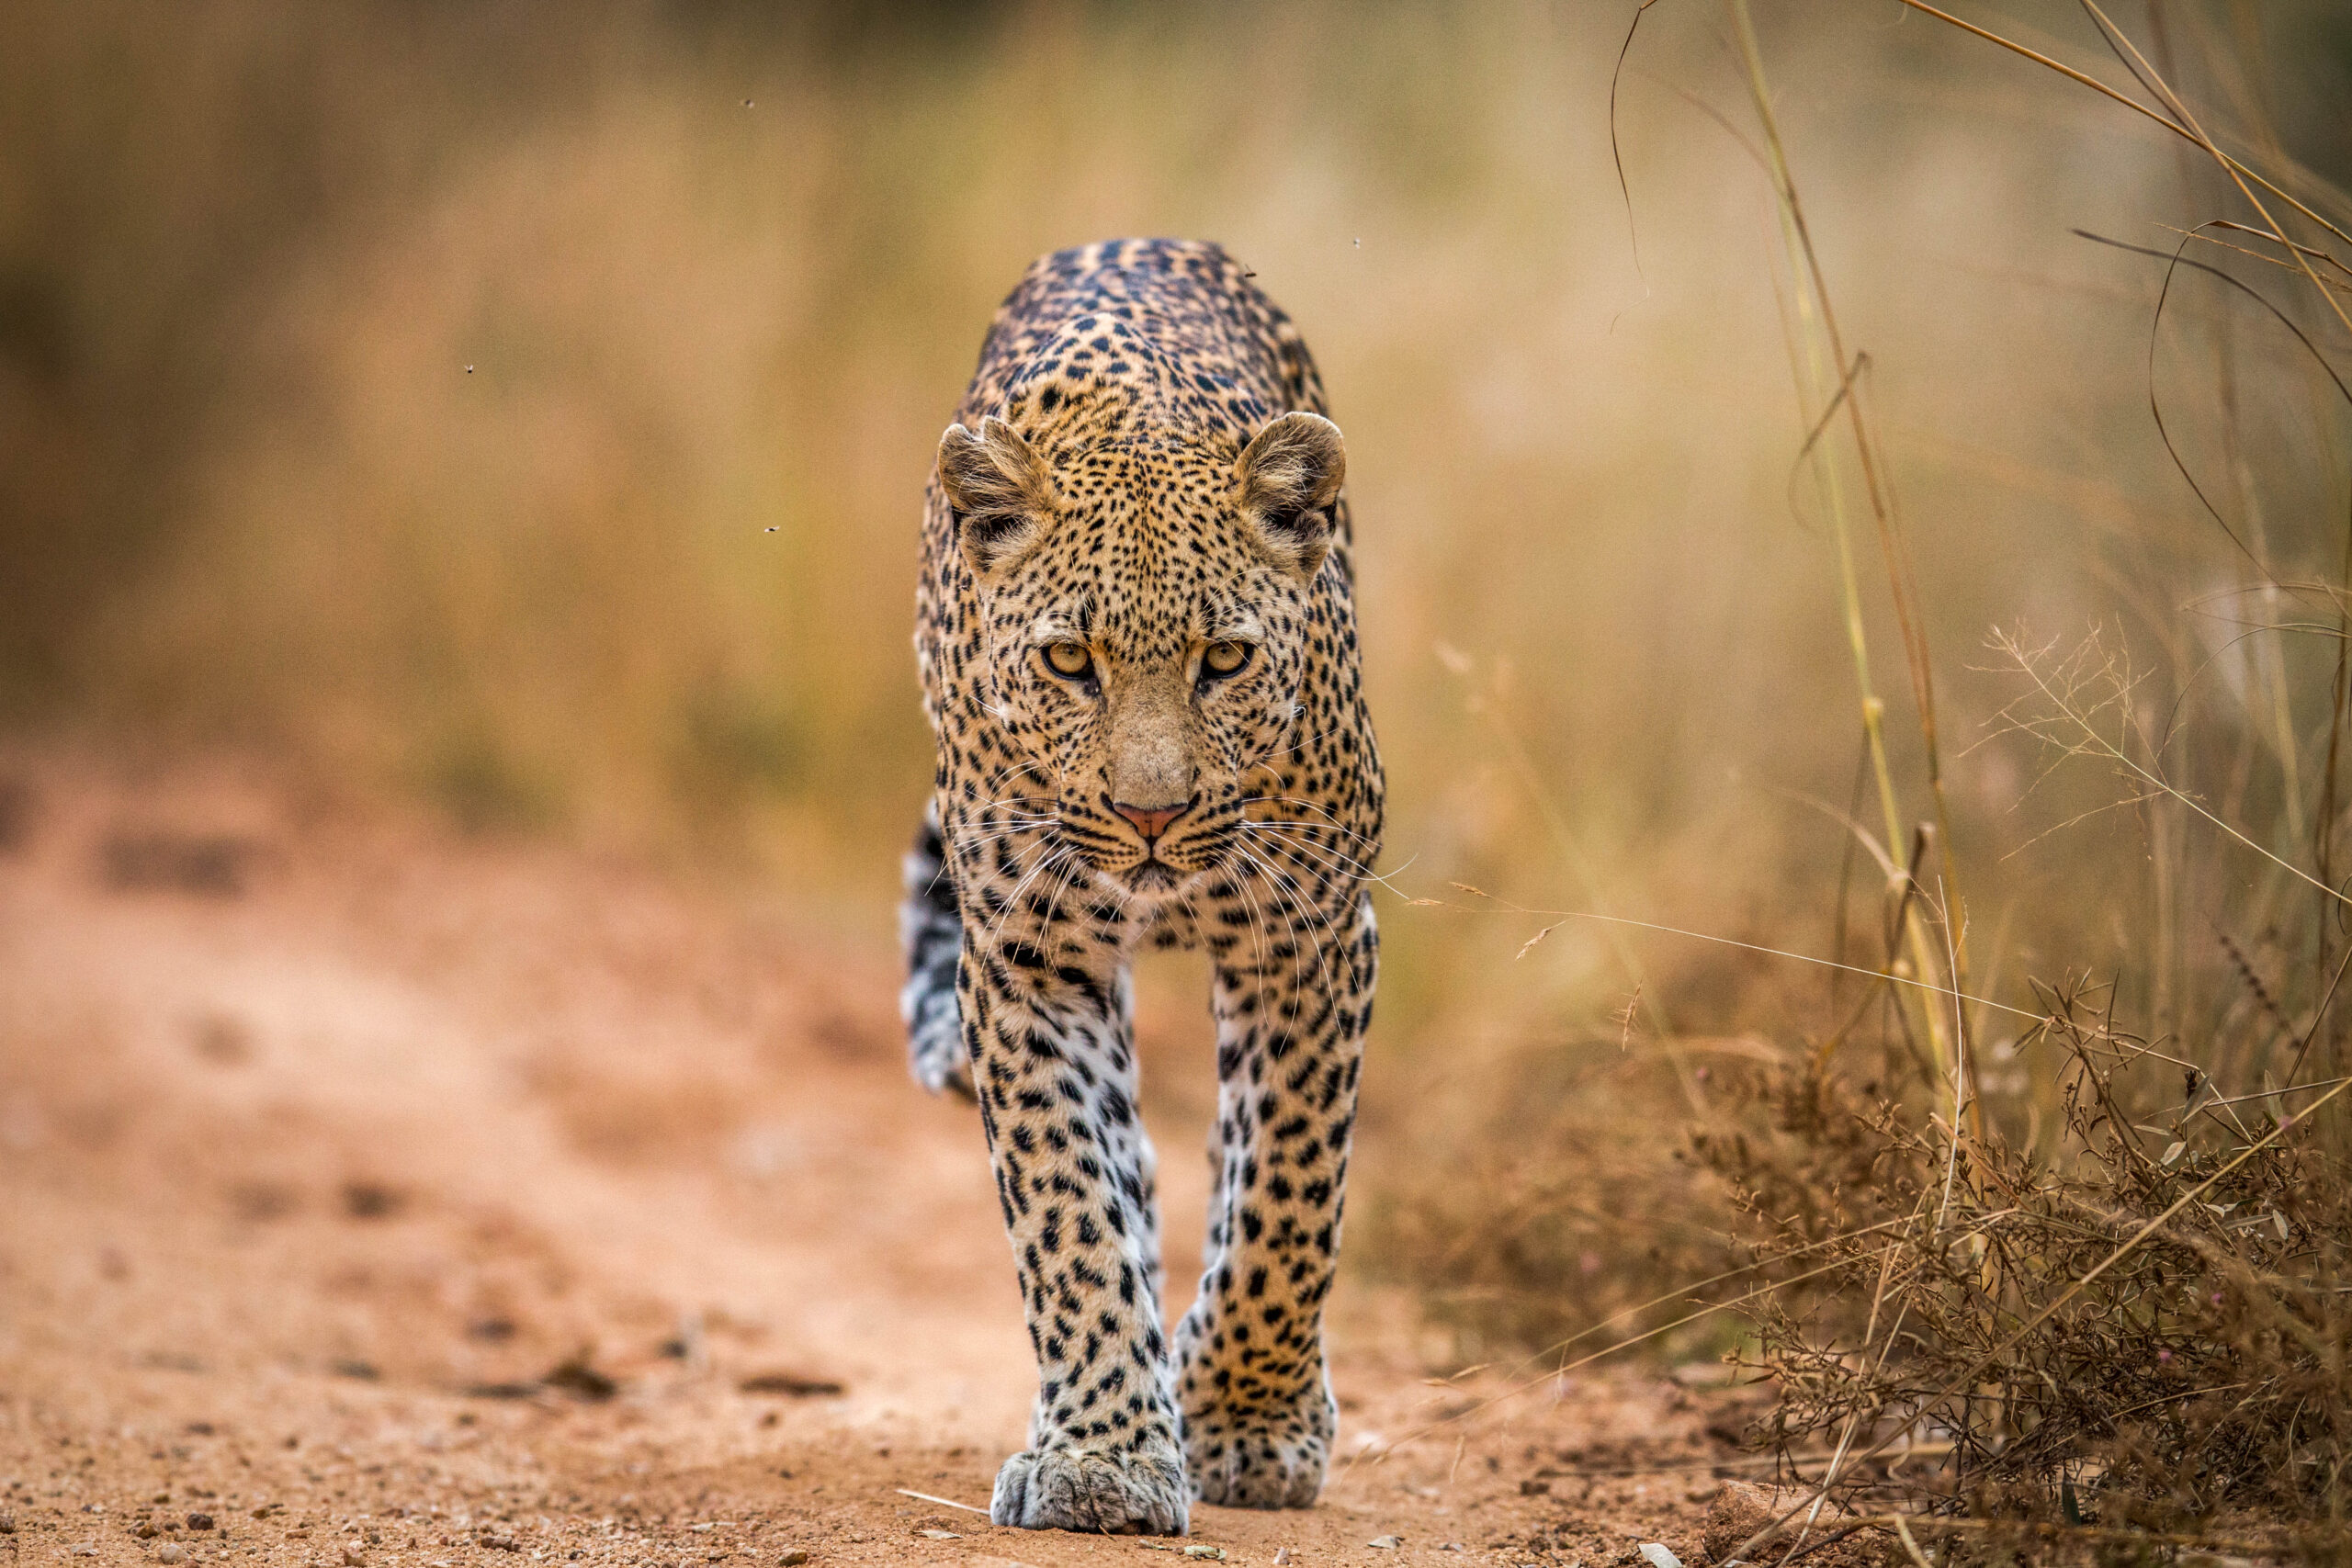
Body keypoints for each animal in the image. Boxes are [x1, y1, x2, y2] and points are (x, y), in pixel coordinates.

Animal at [897, 238, 1383, 1535]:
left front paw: (1249, 1423)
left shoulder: (1310, 936)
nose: (1150, 815)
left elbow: (1286, 1194)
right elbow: (1068, 1206)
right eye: (1071, 661)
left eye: (1225, 659)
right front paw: (1104, 1456)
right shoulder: (1027, 960)